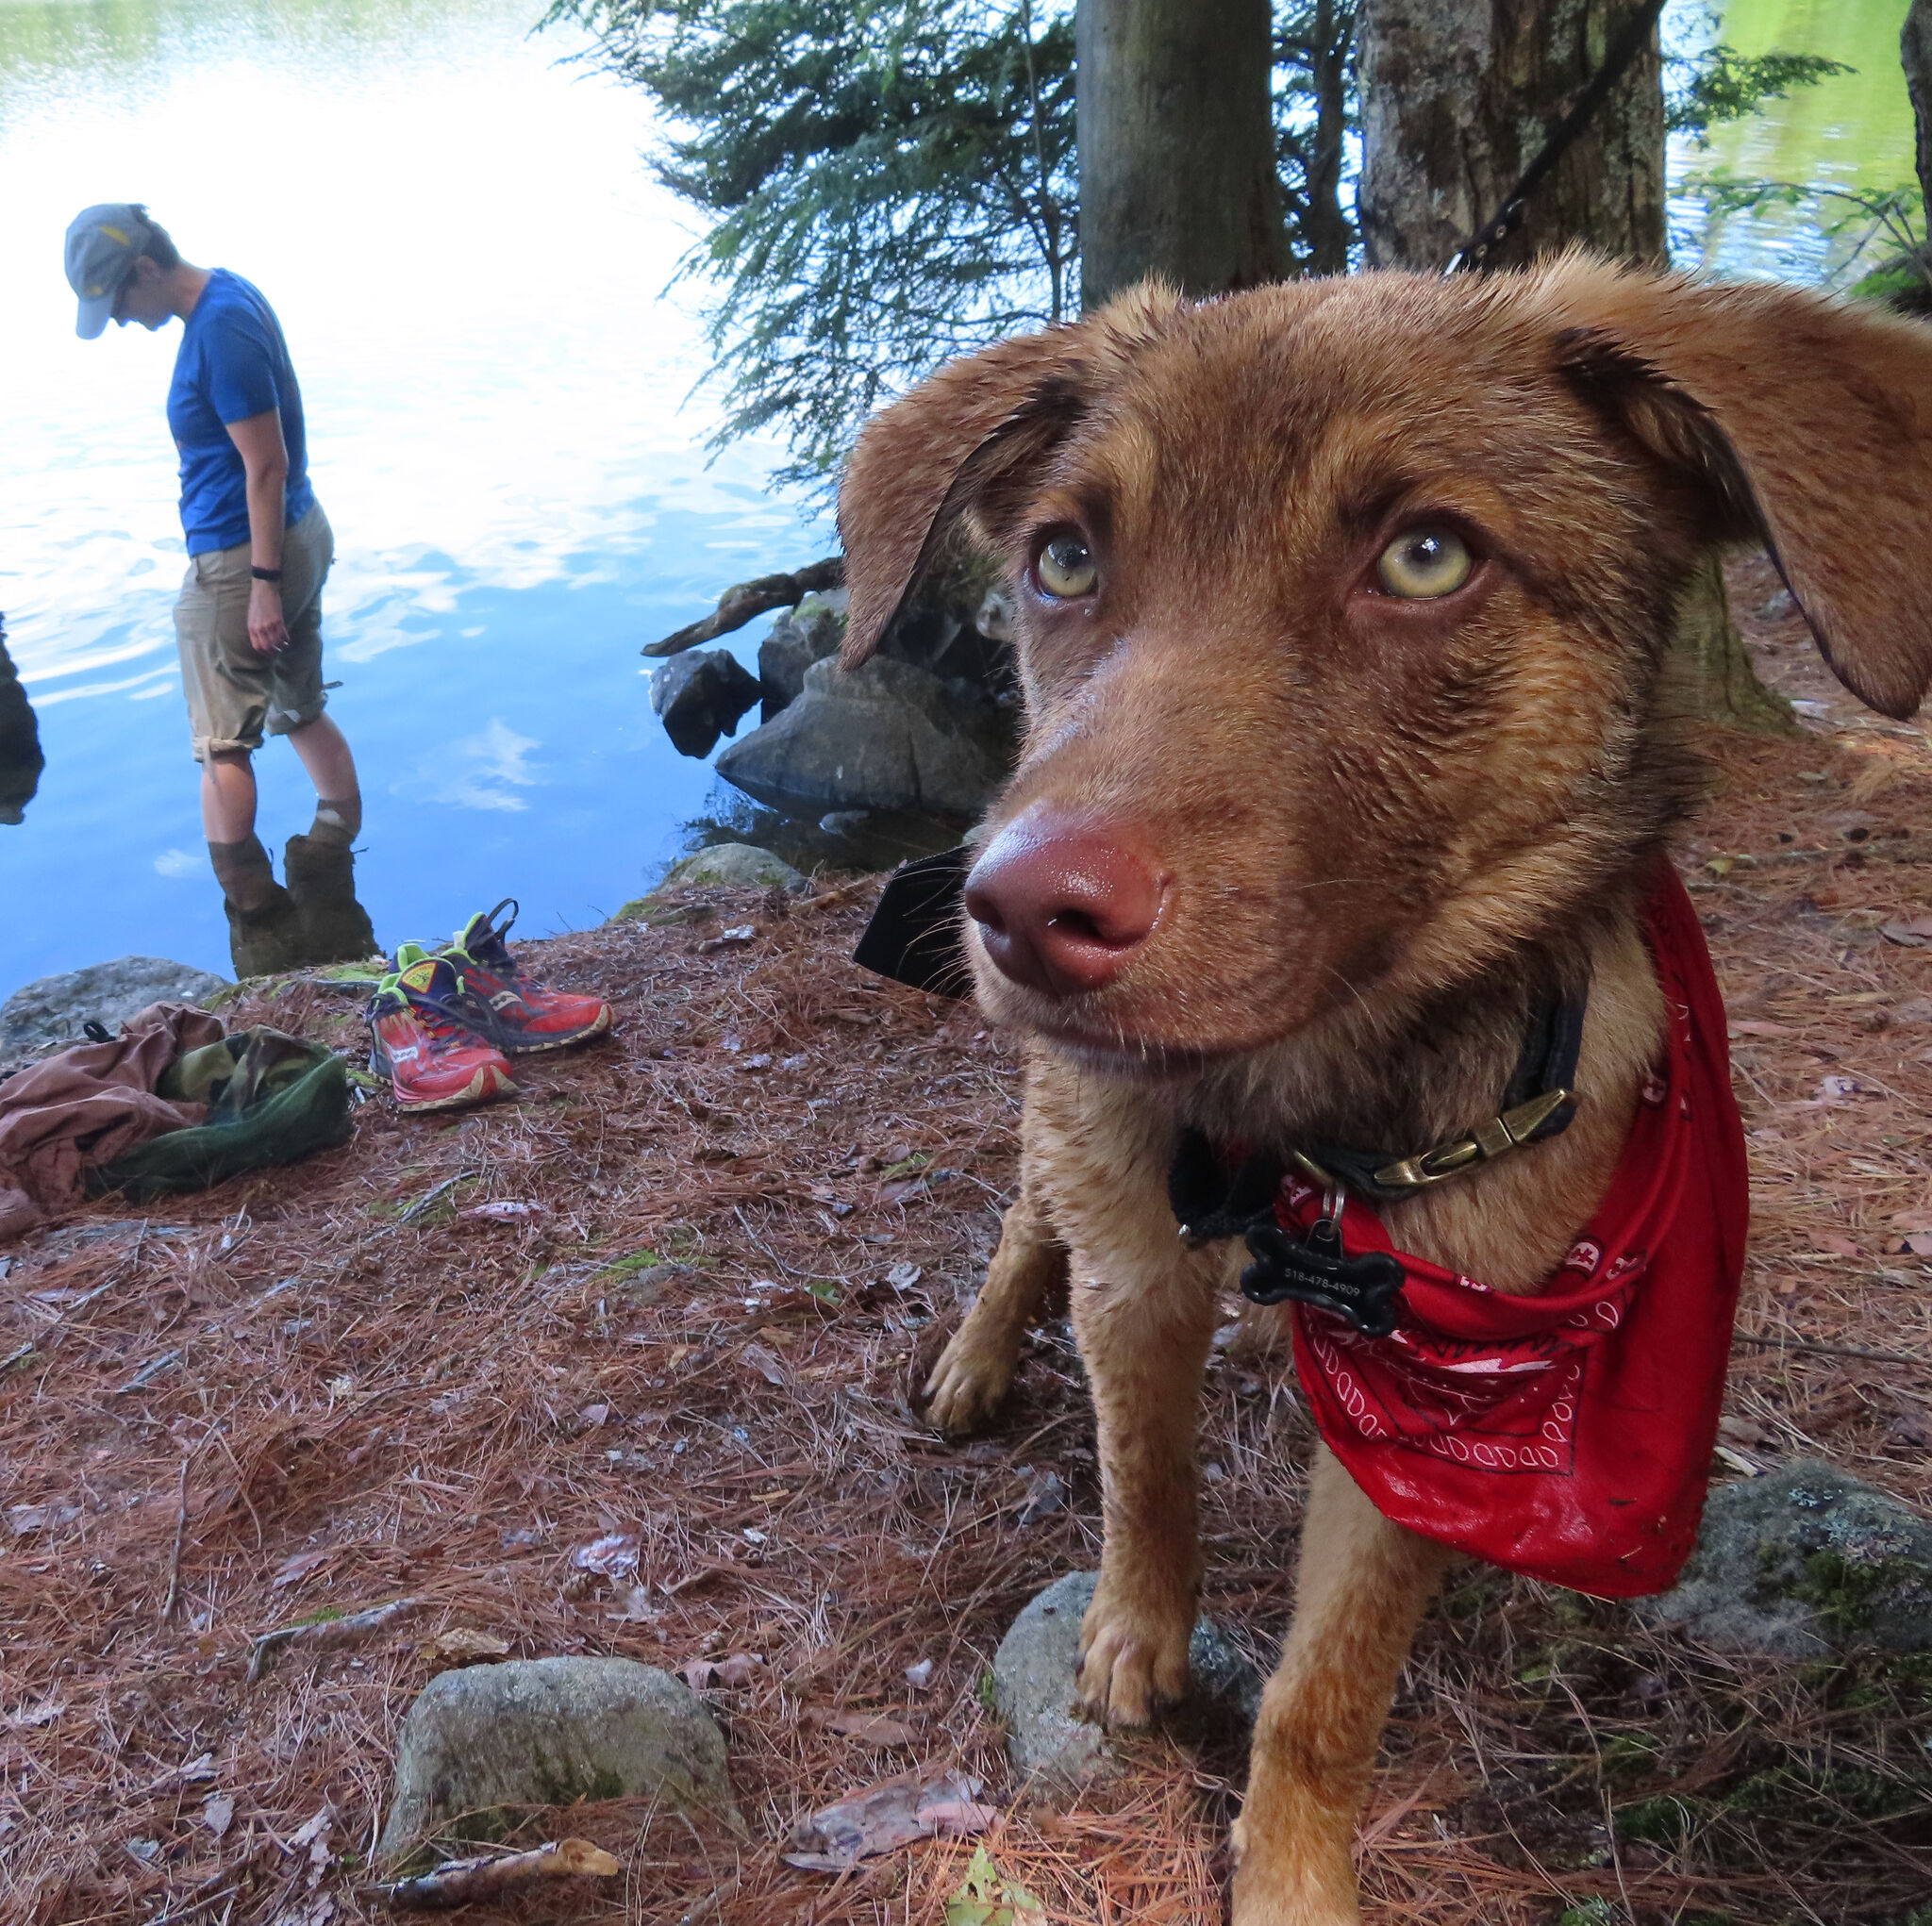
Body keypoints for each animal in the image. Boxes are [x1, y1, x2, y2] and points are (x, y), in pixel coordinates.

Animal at [834, 262, 1932, 1923]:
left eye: (1427, 556)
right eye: (1065, 558)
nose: (1015, 911)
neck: (1296, 1121)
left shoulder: (1442, 1404)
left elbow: (1324, 1692)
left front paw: (1291, 1872)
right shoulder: (1136, 1260)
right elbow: (1141, 1473)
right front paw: (1131, 1639)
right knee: (1030, 1212)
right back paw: (975, 1349)